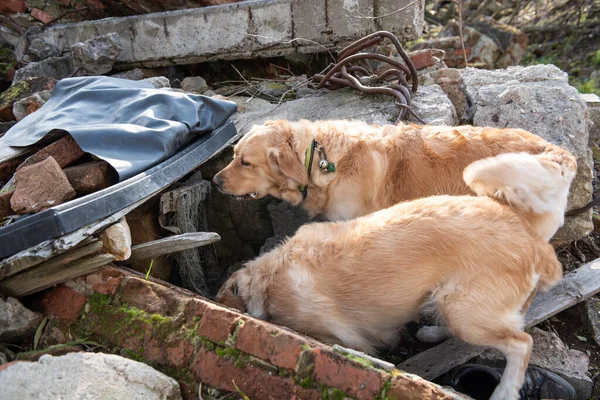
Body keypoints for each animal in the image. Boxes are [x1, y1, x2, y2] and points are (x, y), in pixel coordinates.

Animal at [216, 152, 564, 398]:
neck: (271, 276)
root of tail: (532, 239)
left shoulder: (340, 337)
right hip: (453, 300)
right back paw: (432, 332)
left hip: (465, 311)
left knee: (522, 343)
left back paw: (504, 391)